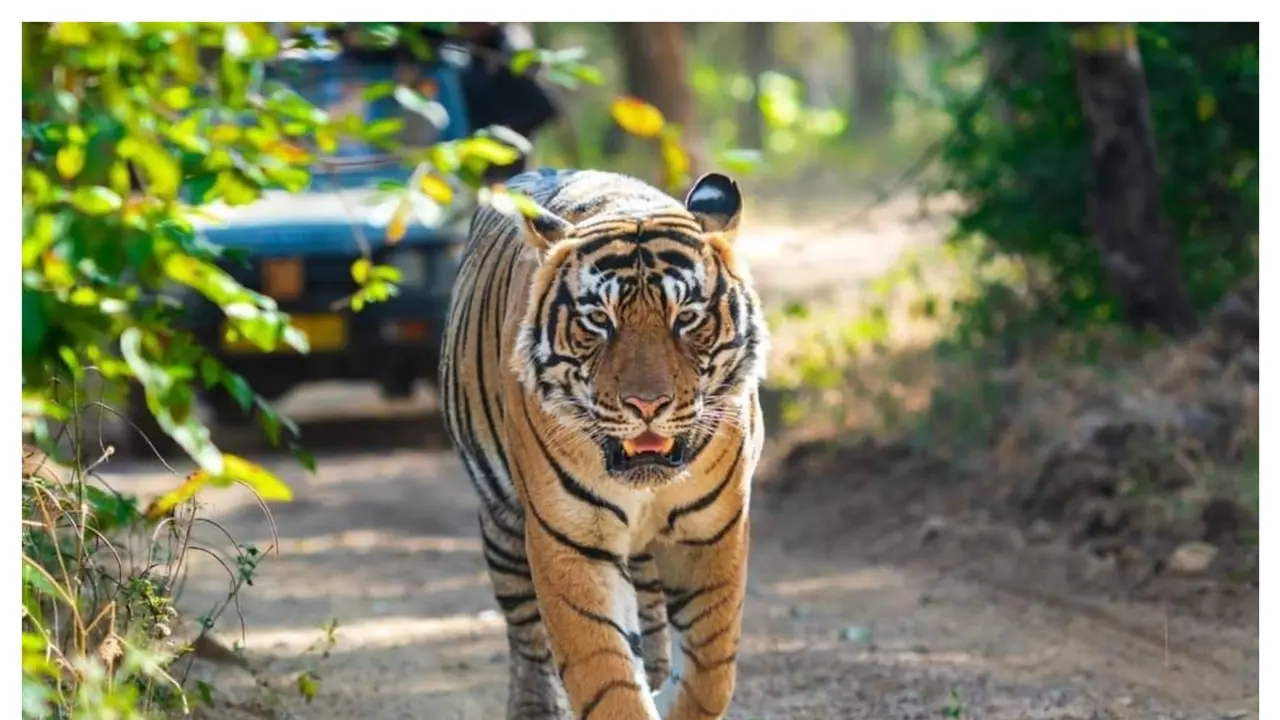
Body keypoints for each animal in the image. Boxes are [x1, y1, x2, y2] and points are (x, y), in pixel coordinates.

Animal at [439, 168, 769, 719]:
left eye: (686, 318)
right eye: (599, 321)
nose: (646, 405)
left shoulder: (711, 529)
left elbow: (710, 671)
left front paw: (669, 696)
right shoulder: (571, 539)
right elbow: (606, 677)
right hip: (502, 524)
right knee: (526, 635)